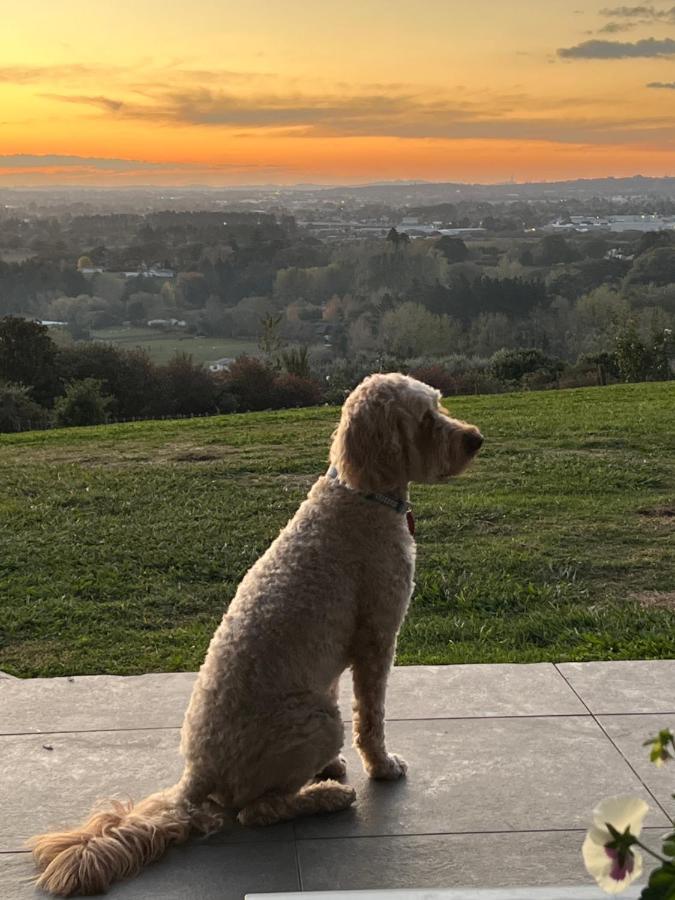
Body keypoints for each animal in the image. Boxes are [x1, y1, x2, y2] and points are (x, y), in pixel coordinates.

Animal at [29, 372, 484, 892]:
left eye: (440, 405)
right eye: (426, 419)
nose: (476, 439)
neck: (360, 494)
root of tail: (196, 776)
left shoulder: (335, 660)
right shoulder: (377, 637)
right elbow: (371, 718)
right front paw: (383, 767)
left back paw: (324, 774)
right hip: (316, 720)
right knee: (257, 811)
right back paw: (327, 796)